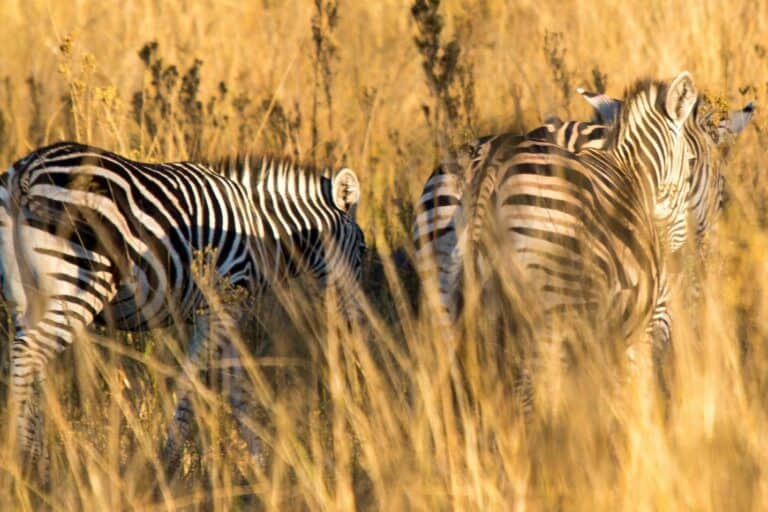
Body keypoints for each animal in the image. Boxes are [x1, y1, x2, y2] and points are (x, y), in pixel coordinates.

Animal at [1, 142, 365, 477]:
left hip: (27, 297)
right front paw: (168, 465)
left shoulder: (227, 309)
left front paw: (262, 468)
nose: (357, 321)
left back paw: (36, 464)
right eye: (362, 247)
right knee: (28, 354)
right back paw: (23, 462)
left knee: (31, 364)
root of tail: (27, 171)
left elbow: (238, 390)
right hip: (84, 278)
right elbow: (193, 383)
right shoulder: (221, 302)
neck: (262, 231)